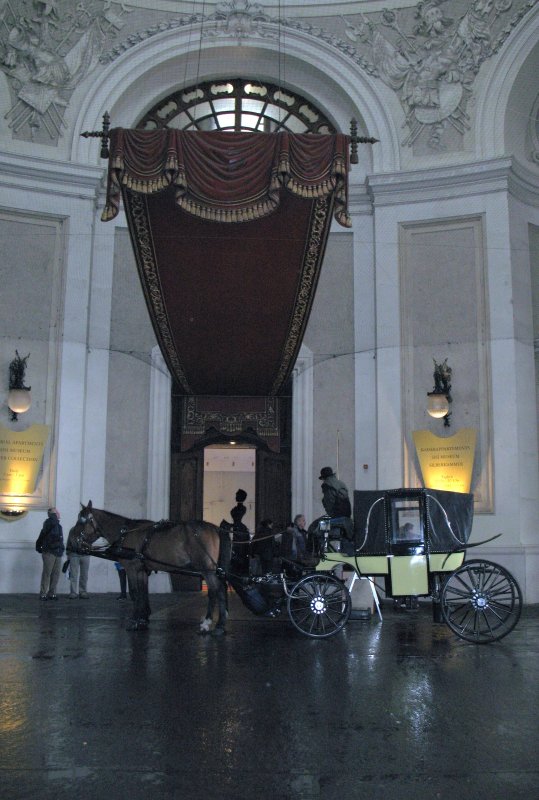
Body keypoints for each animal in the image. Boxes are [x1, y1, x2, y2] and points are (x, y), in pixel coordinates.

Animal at [74, 500, 230, 636]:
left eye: (82, 521)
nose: (73, 541)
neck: (125, 534)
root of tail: (215, 528)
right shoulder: (142, 569)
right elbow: (143, 592)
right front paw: (143, 619)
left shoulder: (132, 568)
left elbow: (135, 592)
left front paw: (134, 621)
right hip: (216, 570)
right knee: (221, 589)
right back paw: (220, 626)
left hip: (207, 569)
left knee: (214, 591)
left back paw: (207, 623)